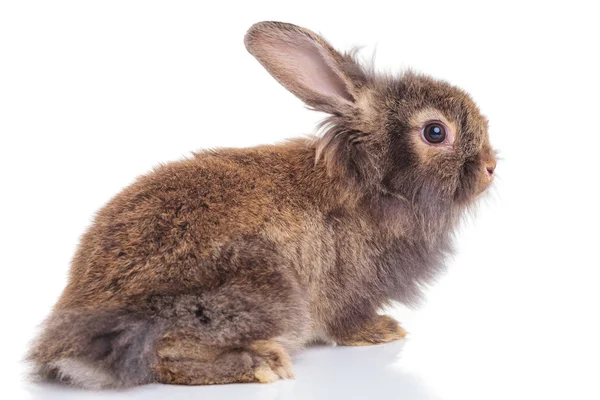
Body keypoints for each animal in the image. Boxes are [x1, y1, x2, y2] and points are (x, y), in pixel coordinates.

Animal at [27, 21, 496, 388]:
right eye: (435, 132)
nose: (491, 168)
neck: (371, 183)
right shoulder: (345, 287)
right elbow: (344, 321)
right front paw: (382, 331)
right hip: (260, 292)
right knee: (162, 355)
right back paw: (261, 364)